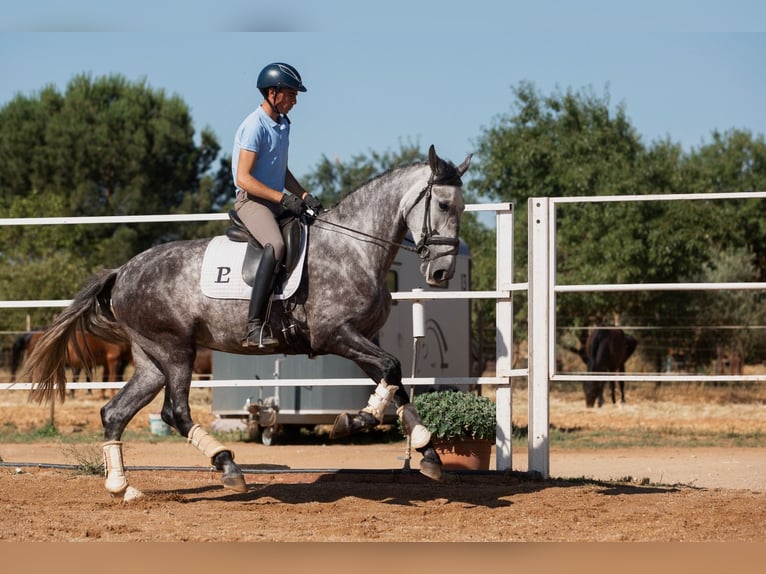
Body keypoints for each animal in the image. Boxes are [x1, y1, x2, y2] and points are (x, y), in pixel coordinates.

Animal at [21, 146, 472, 502]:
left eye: (463, 207)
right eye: (443, 205)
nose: (442, 273)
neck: (354, 247)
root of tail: (123, 271)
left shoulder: (360, 338)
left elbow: (394, 381)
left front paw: (427, 453)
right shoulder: (335, 335)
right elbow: (392, 371)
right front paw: (353, 422)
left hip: (150, 359)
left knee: (115, 412)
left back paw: (123, 487)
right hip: (176, 350)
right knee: (174, 411)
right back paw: (228, 467)